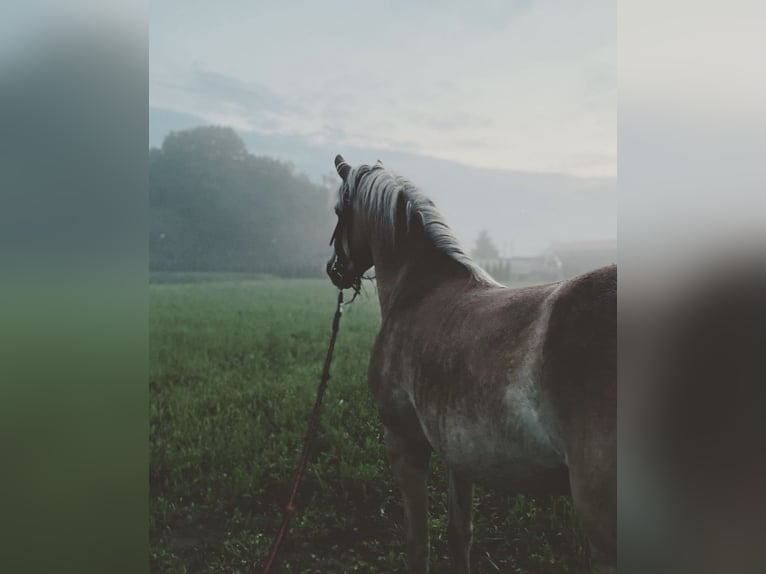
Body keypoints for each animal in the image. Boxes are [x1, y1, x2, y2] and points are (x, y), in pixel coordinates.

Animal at [324, 155, 616, 572]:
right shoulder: (459, 454)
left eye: (338, 211)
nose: (334, 269)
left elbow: (419, 543)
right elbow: (458, 535)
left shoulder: (404, 444)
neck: (419, 288)